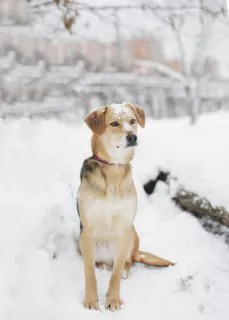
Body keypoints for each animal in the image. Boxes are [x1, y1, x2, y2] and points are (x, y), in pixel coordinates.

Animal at [77, 102, 174, 310]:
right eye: (114, 123)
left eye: (132, 121)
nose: (132, 136)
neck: (113, 168)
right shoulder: (87, 229)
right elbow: (89, 272)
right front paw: (91, 300)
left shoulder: (124, 229)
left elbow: (116, 272)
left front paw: (113, 299)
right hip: (80, 240)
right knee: (99, 262)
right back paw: (102, 264)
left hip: (133, 234)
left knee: (128, 261)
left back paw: (123, 269)